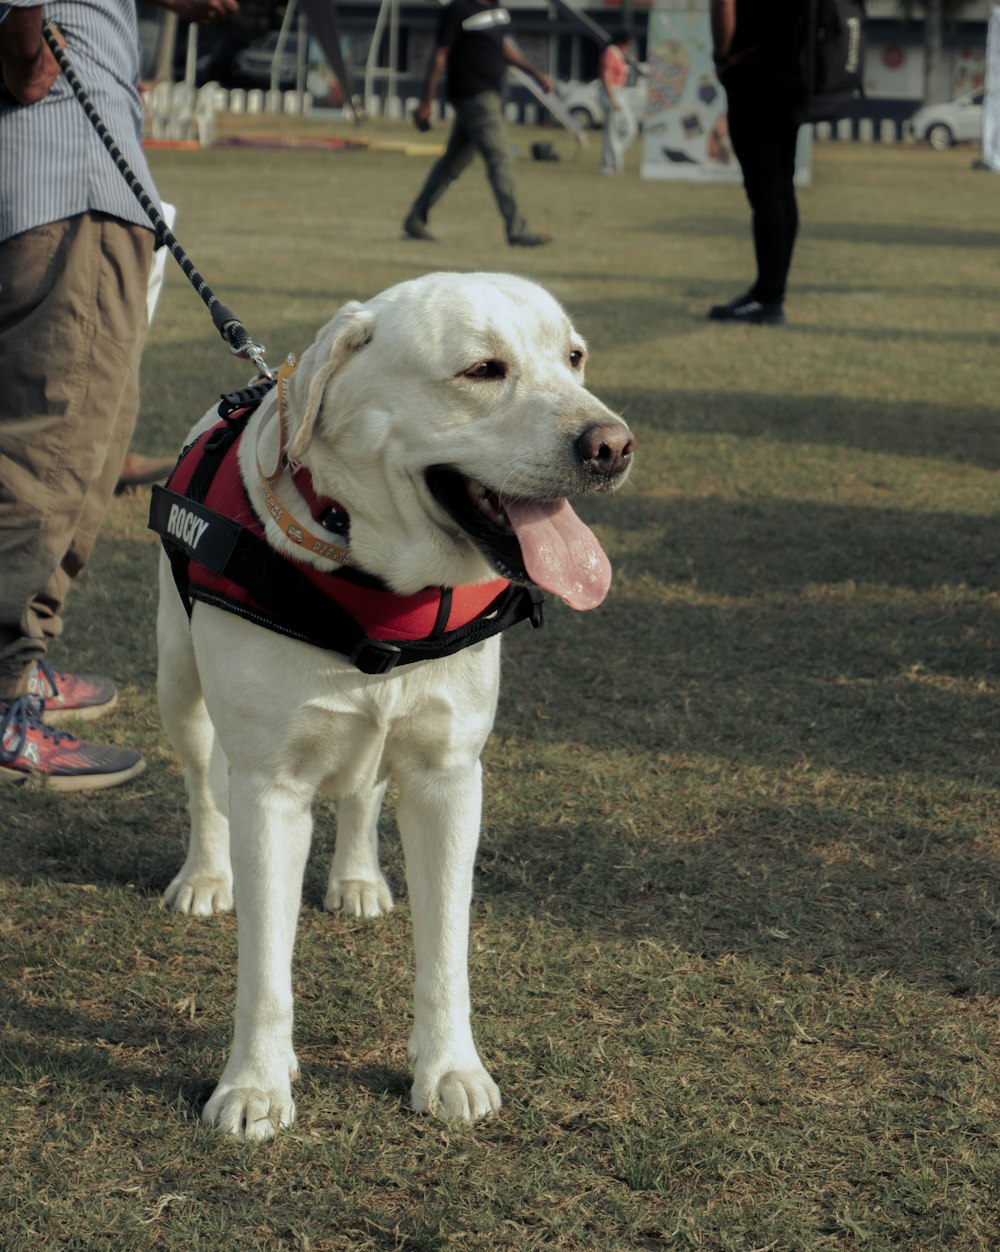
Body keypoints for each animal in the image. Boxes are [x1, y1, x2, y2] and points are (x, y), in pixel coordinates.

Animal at [152, 269, 638, 1141]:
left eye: (574, 357)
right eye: (483, 370)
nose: (612, 445)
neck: (379, 589)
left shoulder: (450, 776)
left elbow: (446, 950)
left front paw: (449, 1070)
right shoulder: (268, 790)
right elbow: (265, 967)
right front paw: (255, 1085)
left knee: (363, 791)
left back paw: (357, 878)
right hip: (178, 680)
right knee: (202, 779)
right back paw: (206, 876)